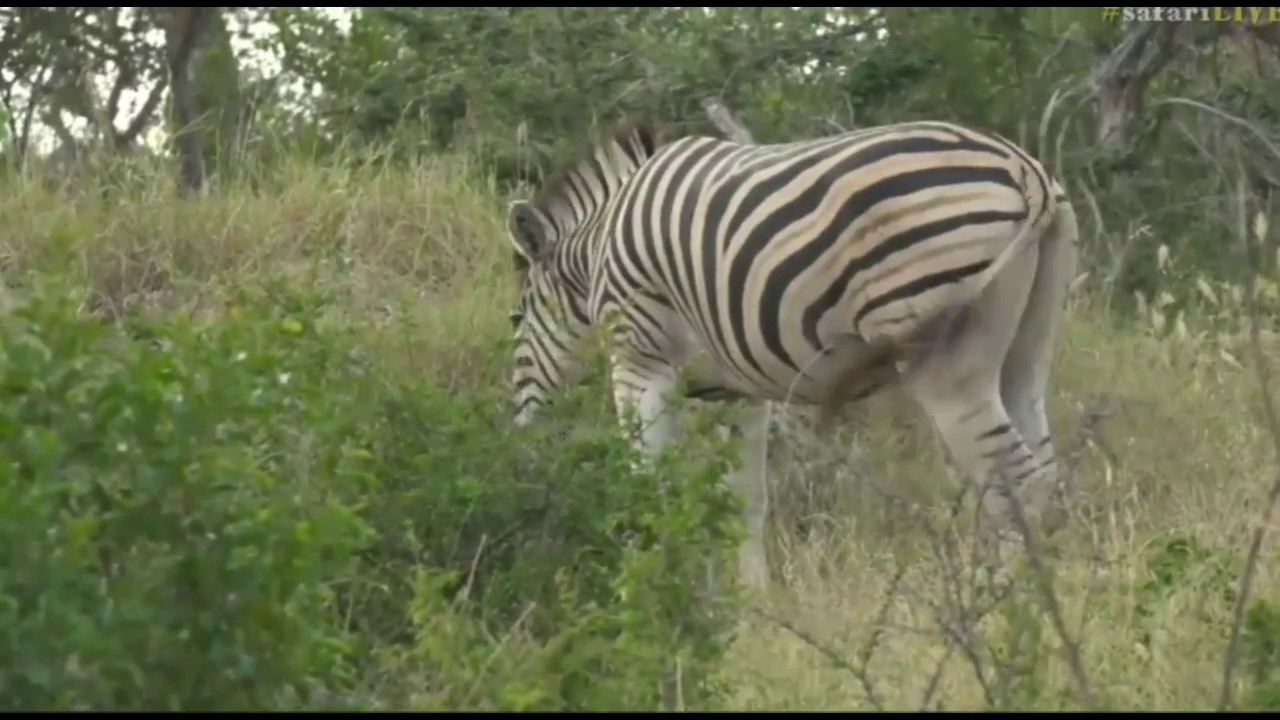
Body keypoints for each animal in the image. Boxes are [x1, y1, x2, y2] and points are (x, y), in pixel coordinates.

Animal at [504, 119, 1080, 589]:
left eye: (515, 319)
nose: (519, 432)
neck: (601, 246)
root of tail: (1022, 166)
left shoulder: (639, 359)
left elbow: (646, 481)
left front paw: (650, 582)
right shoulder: (736, 391)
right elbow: (746, 499)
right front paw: (751, 604)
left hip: (948, 363)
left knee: (1016, 479)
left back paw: (1012, 607)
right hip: (1029, 344)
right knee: (1043, 466)